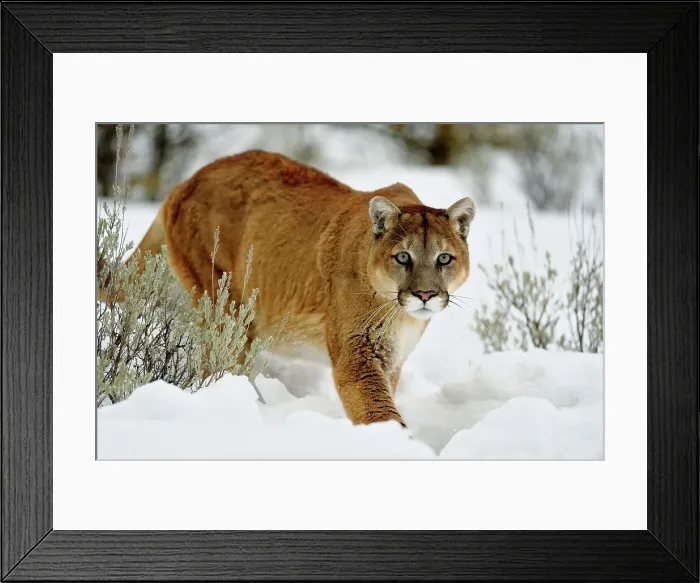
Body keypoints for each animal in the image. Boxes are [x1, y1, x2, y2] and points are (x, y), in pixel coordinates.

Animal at [121, 150, 475, 428]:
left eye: (444, 258)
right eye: (403, 257)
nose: (425, 294)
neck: (402, 316)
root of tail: (187, 181)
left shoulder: (391, 359)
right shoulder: (358, 354)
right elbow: (379, 411)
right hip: (226, 314)